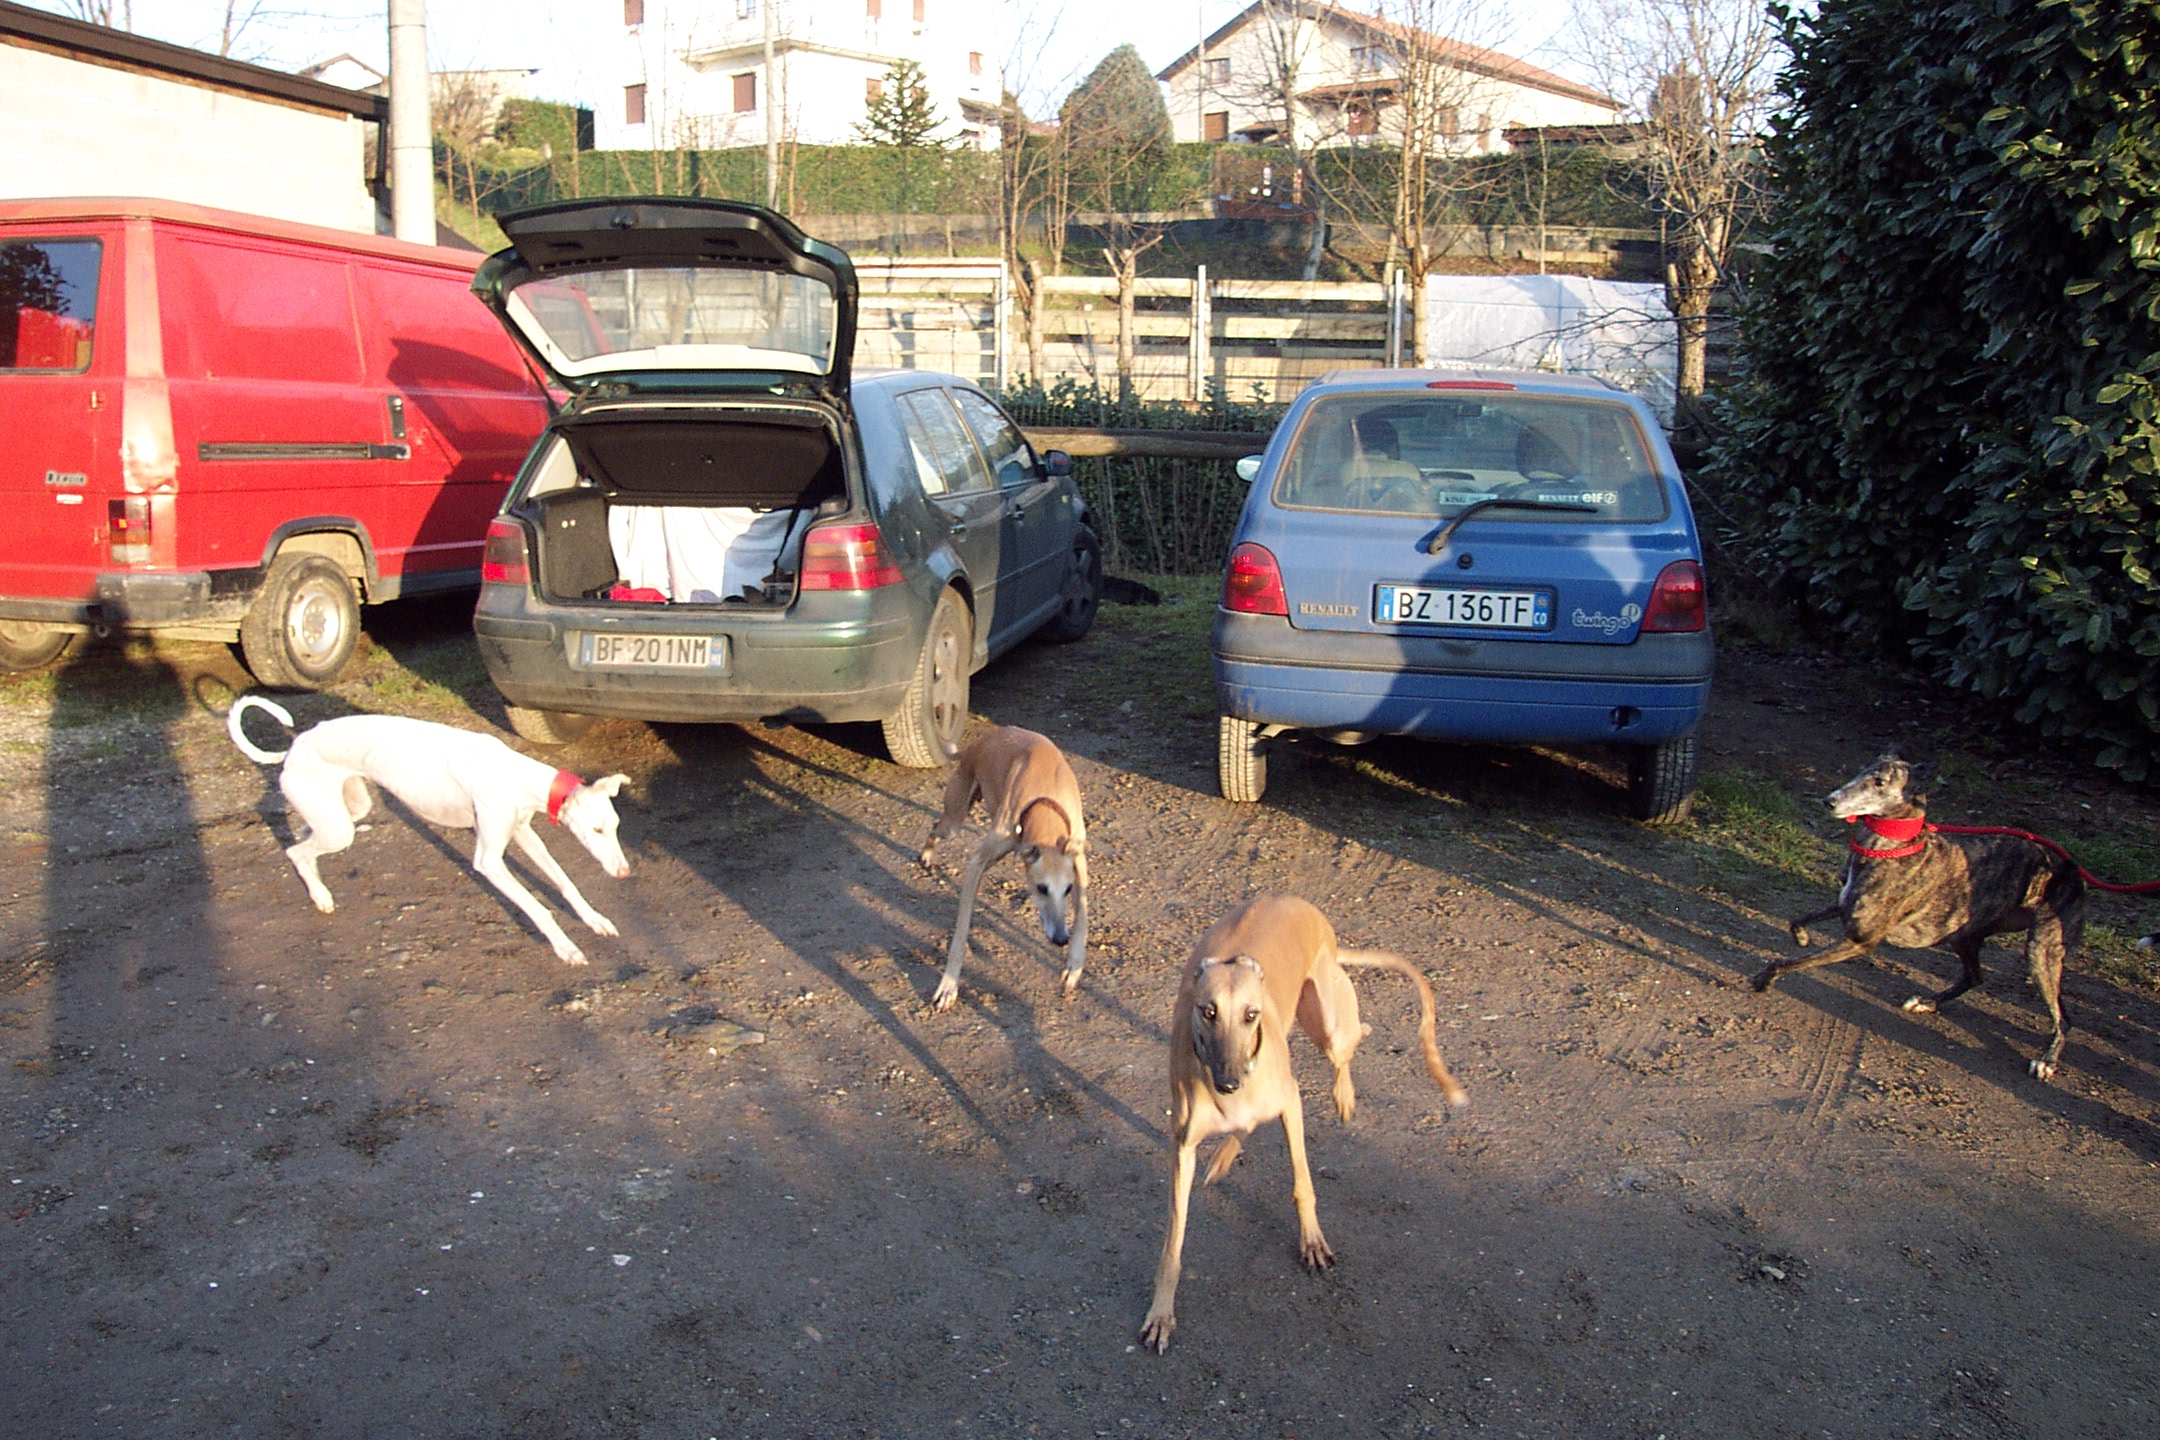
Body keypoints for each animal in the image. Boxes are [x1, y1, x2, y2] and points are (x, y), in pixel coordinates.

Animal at [227, 695, 632, 965]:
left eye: (615, 827)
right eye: (597, 830)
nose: (625, 872)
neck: (512, 772)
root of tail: (294, 747)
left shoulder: (523, 833)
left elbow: (565, 883)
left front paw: (595, 921)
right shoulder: (489, 861)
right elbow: (538, 908)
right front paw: (567, 948)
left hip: (349, 809)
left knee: (304, 841)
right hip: (338, 828)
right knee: (295, 851)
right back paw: (320, 896)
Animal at [918, 726, 1088, 1012]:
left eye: (1067, 890)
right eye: (1041, 888)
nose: (1060, 939)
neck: (1045, 798)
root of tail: (980, 741)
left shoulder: (1079, 859)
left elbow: (1083, 914)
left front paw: (1074, 966)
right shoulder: (977, 864)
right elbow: (960, 934)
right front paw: (948, 987)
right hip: (955, 818)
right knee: (935, 826)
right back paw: (927, 854)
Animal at [1139, 895, 1468, 1353]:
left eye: (1251, 1014)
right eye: (1208, 1011)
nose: (1228, 1082)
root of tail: (1301, 905)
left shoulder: (1291, 1102)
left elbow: (1302, 1183)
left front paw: (1312, 1242)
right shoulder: (1183, 1146)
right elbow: (1173, 1239)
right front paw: (1161, 1314)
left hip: (1328, 1025)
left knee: (1351, 1043)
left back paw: (1344, 1093)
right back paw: (1224, 1157)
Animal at [1750, 752, 2086, 1079]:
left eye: (1880, 782)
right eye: (1860, 770)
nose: (1829, 801)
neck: (1889, 846)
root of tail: (2071, 866)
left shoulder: (1860, 941)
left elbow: (1787, 962)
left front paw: (1765, 979)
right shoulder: (1844, 904)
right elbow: (1800, 919)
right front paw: (1802, 937)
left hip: (2042, 951)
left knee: (2064, 1018)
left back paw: (2047, 1061)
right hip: (1963, 934)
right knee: (1975, 975)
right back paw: (1928, 1001)